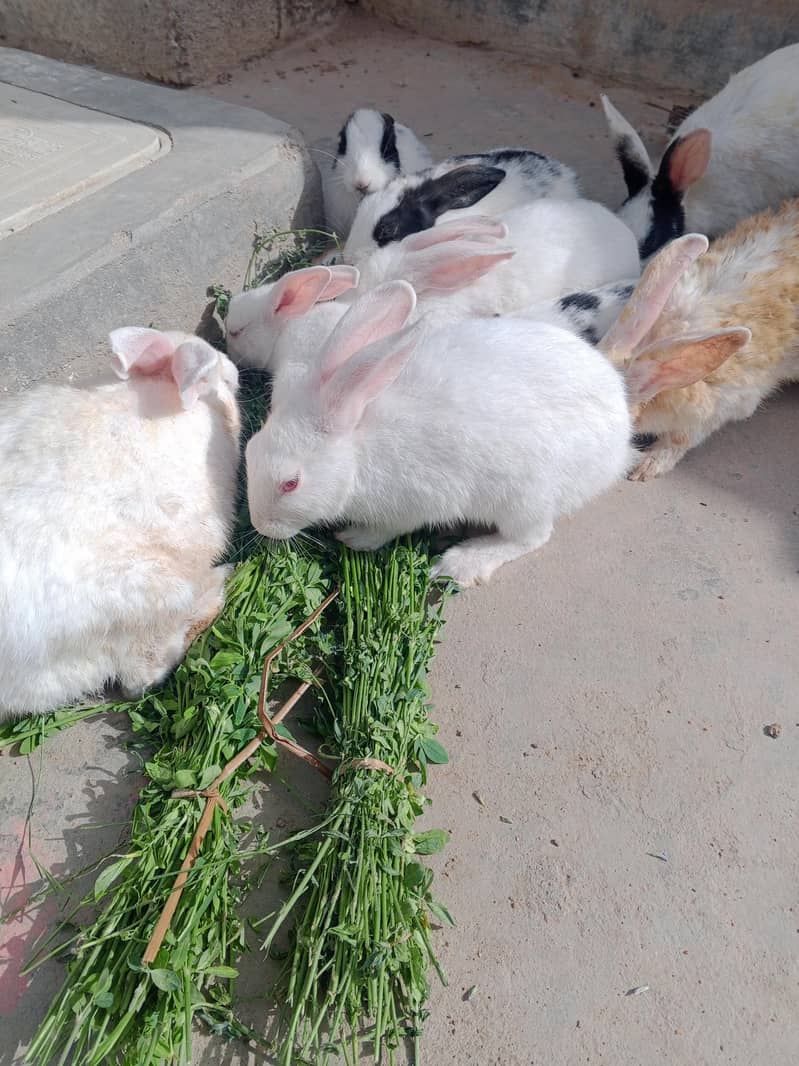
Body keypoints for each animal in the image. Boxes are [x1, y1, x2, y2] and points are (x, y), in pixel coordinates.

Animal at [244, 280, 636, 588]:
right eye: (249, 449)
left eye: (291, 483)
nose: (260, 524)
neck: (357, 449)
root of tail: (620, 437)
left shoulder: (414, 505)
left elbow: (388, 529)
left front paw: (356, 537)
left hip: (525, 497)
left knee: (532, 538)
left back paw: (461, 562)